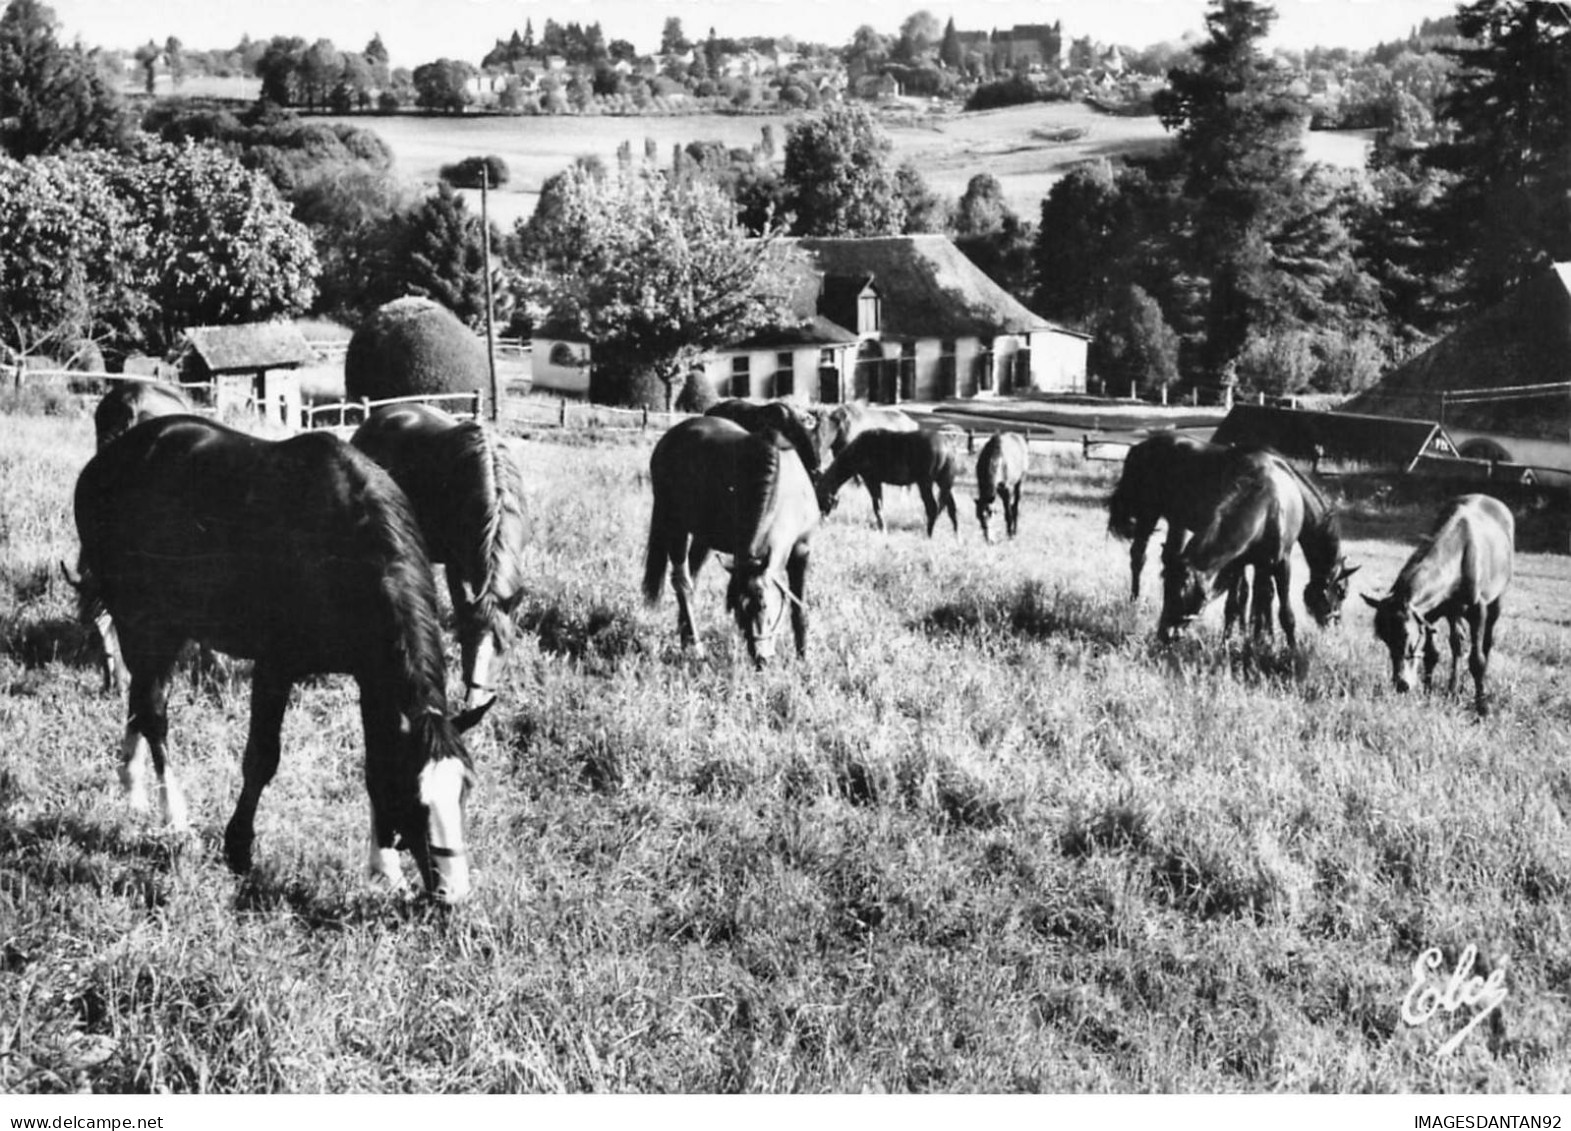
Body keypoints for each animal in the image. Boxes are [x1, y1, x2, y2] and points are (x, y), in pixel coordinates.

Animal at [73, 411, 487, 898]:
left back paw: (134, 789)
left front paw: (384, 869)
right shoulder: (275, 667)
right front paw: (238, 849)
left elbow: (374, 765)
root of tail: (106, 461)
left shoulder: (373, 677)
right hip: (141, 618)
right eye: (417, 799)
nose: (453, 895)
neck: (344, 550)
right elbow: (261, 759)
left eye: (464, 790)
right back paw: (173, 817)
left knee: (141, 702)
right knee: (153, 713)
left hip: (169, 628)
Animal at [640, 414, 816, 662]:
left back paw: (685, 639)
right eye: (738, 610)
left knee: (692, 577)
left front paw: (803, 657)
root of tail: (670, 436)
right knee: (682, 582)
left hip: (703, 536)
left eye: (765, 605)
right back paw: (695, 646)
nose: (761, 658)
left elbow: (799, 607)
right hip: (674, 525)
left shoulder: (802, 549)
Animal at [816, 427, 961, 540]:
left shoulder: (871, 480)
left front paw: (882, 530)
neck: (859, 450)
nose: (821, 521)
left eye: (820, 496)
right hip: (942, 483)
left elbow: (877, 507)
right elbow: (879, 505)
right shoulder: (876, 482)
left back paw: (928, 535)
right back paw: (956, 536)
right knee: (951, 508)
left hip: (925, 483)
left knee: (932, 508)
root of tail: (948, 447)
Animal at [1363, 496, 1508, 716]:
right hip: (1454, 613)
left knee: (1486, 643)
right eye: (1384, 638)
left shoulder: (1478, 611)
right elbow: (1432, 655)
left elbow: (1477, 660)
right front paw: (1427, 693)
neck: (1458, 557)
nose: (1401, 684)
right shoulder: (1429, 614)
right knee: (1458, 645)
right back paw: (1454, 689)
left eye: (1406, 634)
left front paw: (1482, 706)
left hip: (1495, 603)